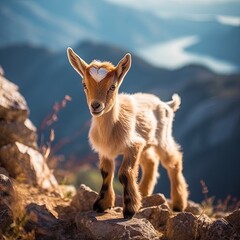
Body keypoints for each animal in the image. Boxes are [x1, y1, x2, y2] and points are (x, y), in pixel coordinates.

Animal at [66, 47, 188, 218]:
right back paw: (143, 192)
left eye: (112, 86)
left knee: (173, 161)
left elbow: (124, 173)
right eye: (84, 84)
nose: (95, 106)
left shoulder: (133, 145)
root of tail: (167, 104)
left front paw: (130, 208)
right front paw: (102, 204)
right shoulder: (106, 151)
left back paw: (178, 204)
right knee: (151, 162)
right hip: (146, 143)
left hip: (163, 138)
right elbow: (106, 172)